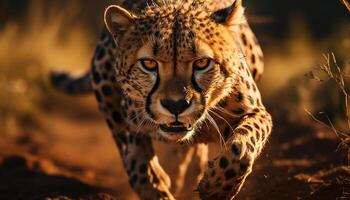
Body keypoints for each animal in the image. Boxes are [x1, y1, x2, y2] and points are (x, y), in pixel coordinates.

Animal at [50, 0, 272, 199]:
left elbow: (241, 147)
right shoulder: (127, 118)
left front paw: (217, 186)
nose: (176, 105)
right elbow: (137, 163)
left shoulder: (256, 112)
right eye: (148, 64)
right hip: (102, 77)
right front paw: (156, 181)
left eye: (202, 62)